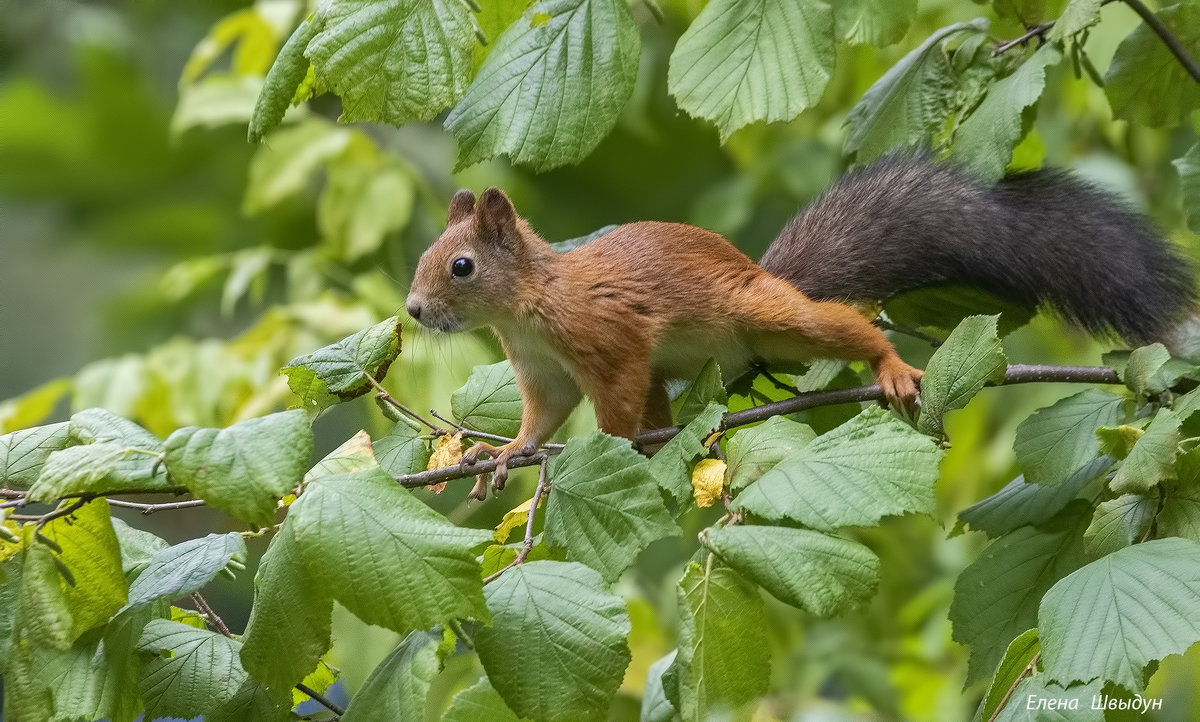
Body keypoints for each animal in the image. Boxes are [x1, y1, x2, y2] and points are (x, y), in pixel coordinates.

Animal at [408, 153, 1195, 486]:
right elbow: (540, 417)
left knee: (844, 328)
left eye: (461, 267)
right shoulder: (542, 372)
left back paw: (890, 366)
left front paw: (605, 448)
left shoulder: (609, 339)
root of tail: (765, 275)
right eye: (425, 255)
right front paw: (506, 453)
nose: (413, 310)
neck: (528, 308)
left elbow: (615, 401)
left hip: (767, 317)